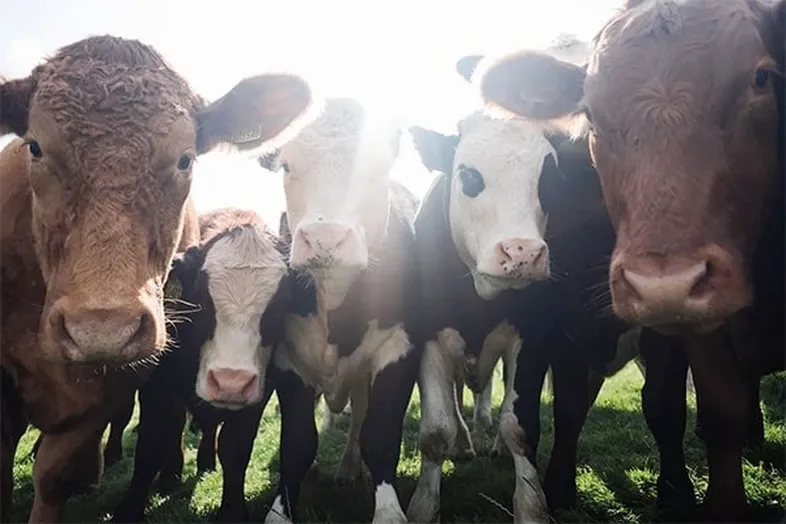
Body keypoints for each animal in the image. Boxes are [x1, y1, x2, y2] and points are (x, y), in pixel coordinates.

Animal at [113, 208, 314, 523]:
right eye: (202, 298)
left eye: (281, 304)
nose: (230, 382)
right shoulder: (157, 387)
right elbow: (150, 446)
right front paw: (129, 510)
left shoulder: (256, 396)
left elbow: (235, 449)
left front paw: (232, 511)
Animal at [257, 98, 421, 523]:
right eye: (287, 165)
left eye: (378, 166)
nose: (325, 238)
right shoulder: (289, 359)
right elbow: (297, 444)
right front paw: (280, 510)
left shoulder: (399, 350)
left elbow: (379, 437)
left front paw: (388, 511)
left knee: (360, 417)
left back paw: (348, 469)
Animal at [405, 43, 648, 522]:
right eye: (469, 176)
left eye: (549, 180)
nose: (521, 252)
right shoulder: (429, 336)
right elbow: (436, 432)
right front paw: (424, 505)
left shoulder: (535, 337)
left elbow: (522, 428)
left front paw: (532, 505)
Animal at [471, 0, 785, 520]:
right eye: (589, 110)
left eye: (762, 78)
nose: (665, 284)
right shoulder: (568, 326)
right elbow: (574, 405)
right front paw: (558, 490)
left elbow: (664, 406)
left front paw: (675, 494)